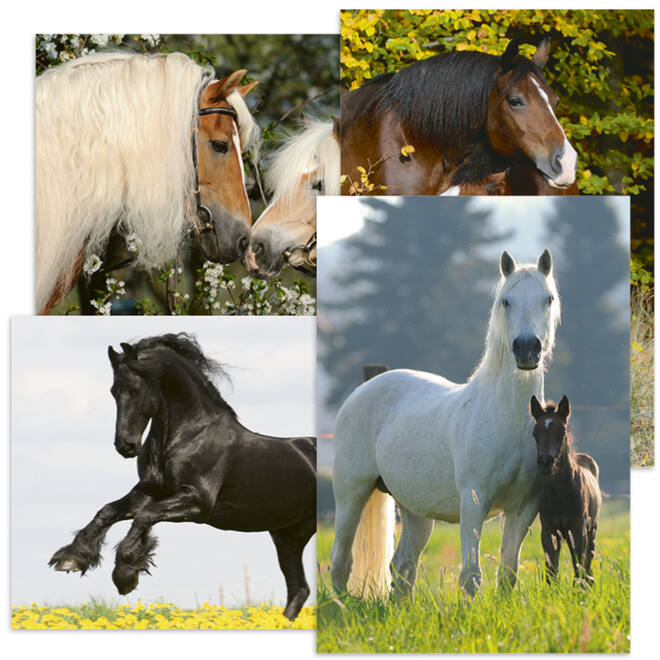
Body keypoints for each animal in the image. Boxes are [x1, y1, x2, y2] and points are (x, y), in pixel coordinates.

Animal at [48, 333, 316, 621]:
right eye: (113, 391)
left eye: (135, 389)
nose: (126, 446)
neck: (190, 435)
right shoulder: (149, 491)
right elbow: (107, 511)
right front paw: (71, 558)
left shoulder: (197, 503)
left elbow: (144, 517)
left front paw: (126, 575)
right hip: (287, 536)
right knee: (299, 588)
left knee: (301, 587)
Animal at [331, 249, 561, 599]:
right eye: (506, 301)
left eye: (547, 299)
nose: (526, 348)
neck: (505, 417)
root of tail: (361, 391)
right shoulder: (474, 500)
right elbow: (471, 576)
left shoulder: (524, 507)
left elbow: (508, 572)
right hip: (350, 495)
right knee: (341, 562)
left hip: (414, 510)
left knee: (402, 566)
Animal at [530, 395, 601, 586]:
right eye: (535, 434)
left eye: (562, 432)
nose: (545, 462)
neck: (560, 492)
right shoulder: (549, 531)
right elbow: (551, 571)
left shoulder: (578, 529)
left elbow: (579, 567)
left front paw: (580, 590)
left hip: (591, 530)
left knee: (587, 563)